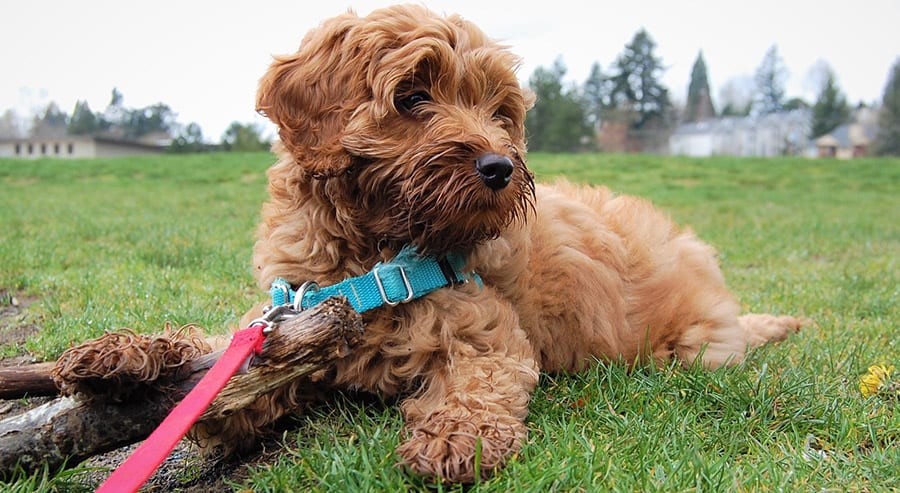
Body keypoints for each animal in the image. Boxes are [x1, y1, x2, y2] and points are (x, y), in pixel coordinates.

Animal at [206, 3, 808, 480]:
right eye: (412, 96)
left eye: (500, 113)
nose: (500, 167)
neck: (376, 267)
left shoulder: (488, 334)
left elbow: (479, 384)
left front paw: (454, 439)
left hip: (691, 347)